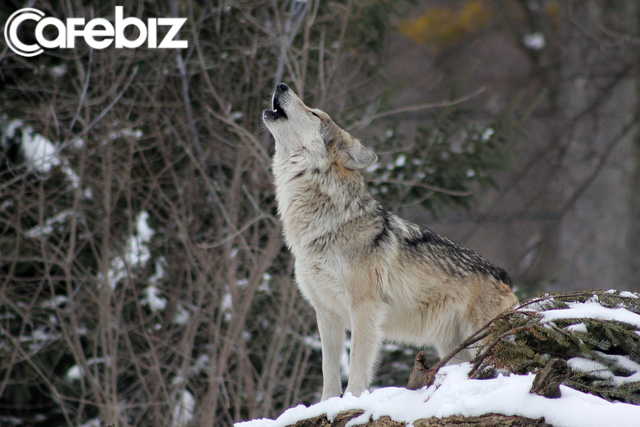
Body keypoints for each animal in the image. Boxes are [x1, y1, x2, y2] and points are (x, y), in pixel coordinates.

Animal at [262, 83, 516, 402]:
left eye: (315, 113)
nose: (281, 85)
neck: (324, 226)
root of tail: (505, 276)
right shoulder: (326, 312)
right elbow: (328, 372)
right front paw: (327, 405)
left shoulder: (364, 309)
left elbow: (357, 366)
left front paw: (352, 401)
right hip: (453, 348)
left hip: (481, 341)